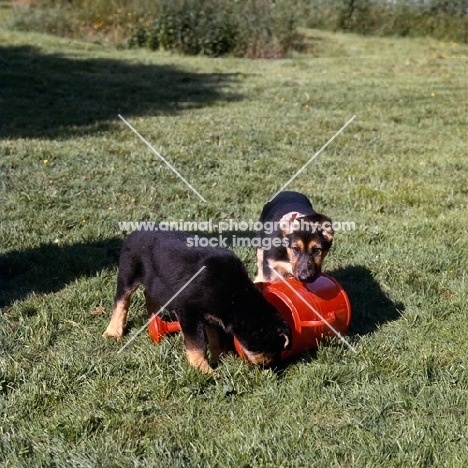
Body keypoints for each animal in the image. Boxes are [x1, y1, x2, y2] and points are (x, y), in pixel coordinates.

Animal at [104, 229, 290, 372]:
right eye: (274, 345)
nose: (272, 366)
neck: (236, 298)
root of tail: (134, 232)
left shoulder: (211, 316)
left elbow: (215, 339)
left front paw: (223, 358)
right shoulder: (189, 311)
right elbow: (197, 345)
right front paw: (204, 370)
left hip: (155, 282)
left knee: (148, 294)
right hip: (129, 271)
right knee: (121, 301)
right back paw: (113, 332)